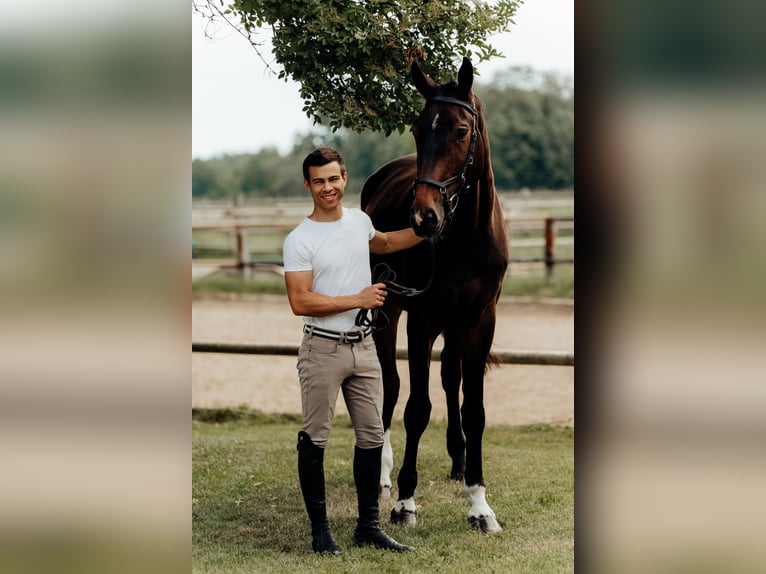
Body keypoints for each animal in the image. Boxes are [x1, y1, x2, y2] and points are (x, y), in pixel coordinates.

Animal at [360, 57, 509, 533]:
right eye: (418, 128)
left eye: (461, 131)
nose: (424, 217)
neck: (463, 237)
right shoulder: (422, 320)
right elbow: (416, 408)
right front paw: (405, 502)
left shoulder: (479, 320)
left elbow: (473, 409)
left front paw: (479, 505)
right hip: (387, 312)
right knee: (390, 387)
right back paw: (382, 475)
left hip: (453, 325)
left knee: (449, 380)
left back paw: (458, 463)